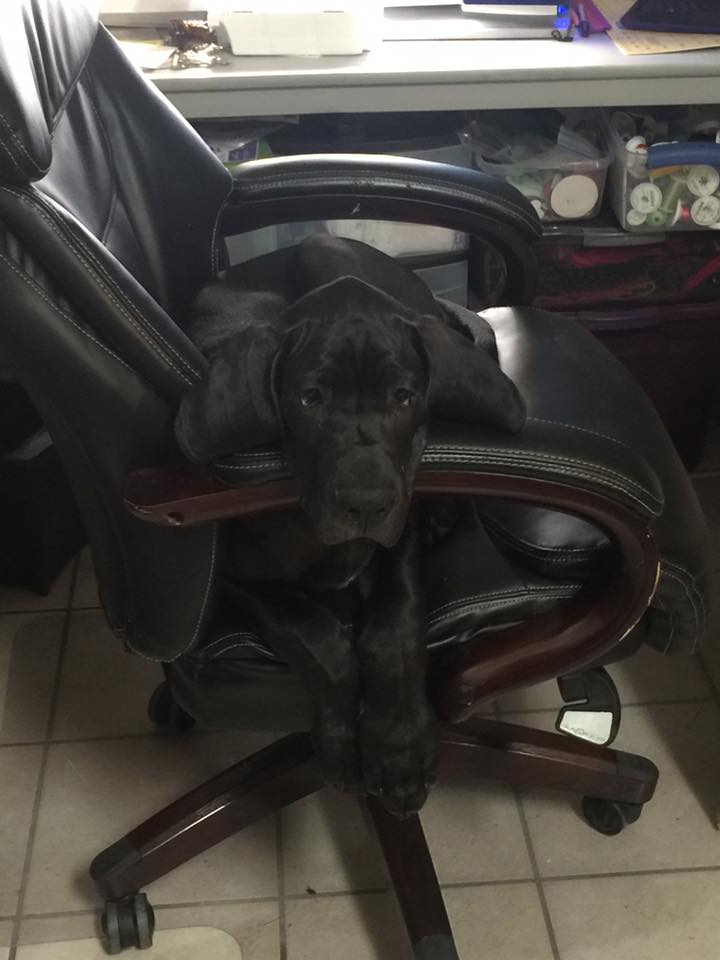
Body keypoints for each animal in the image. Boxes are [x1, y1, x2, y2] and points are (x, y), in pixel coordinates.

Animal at [175, 235, 525, 816]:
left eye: (404, 396)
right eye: (309, 398)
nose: (366, 504)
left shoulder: (399, 525)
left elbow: (395, 625)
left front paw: (398, 748)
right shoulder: (232, 580)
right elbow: (312, 633)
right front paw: (343, 741)